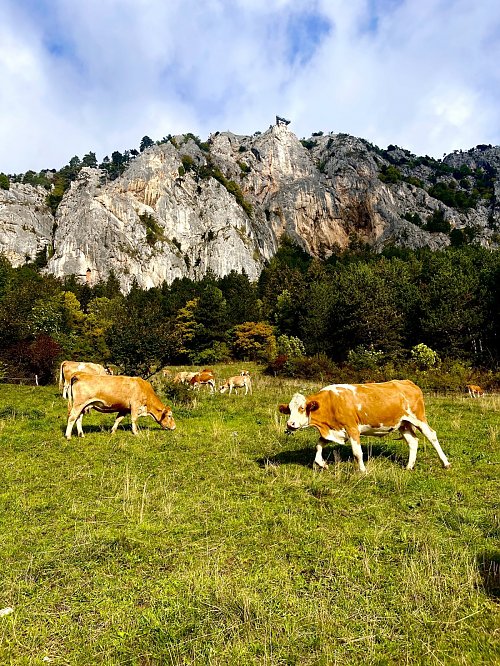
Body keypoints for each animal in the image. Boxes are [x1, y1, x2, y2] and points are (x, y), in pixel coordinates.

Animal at [280, 378, 452, 472]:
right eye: (289, 410)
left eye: (302, 408)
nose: (290, 424)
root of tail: (408, 382)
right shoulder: (334, 430)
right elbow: (318, 446)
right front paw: (322, 464)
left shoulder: (352, 428)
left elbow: (357, 453)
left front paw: (362, 470)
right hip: (403, 423)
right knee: (413, 441)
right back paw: (409, 466)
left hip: (418, 418)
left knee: (432, 436)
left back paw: (445, 463)